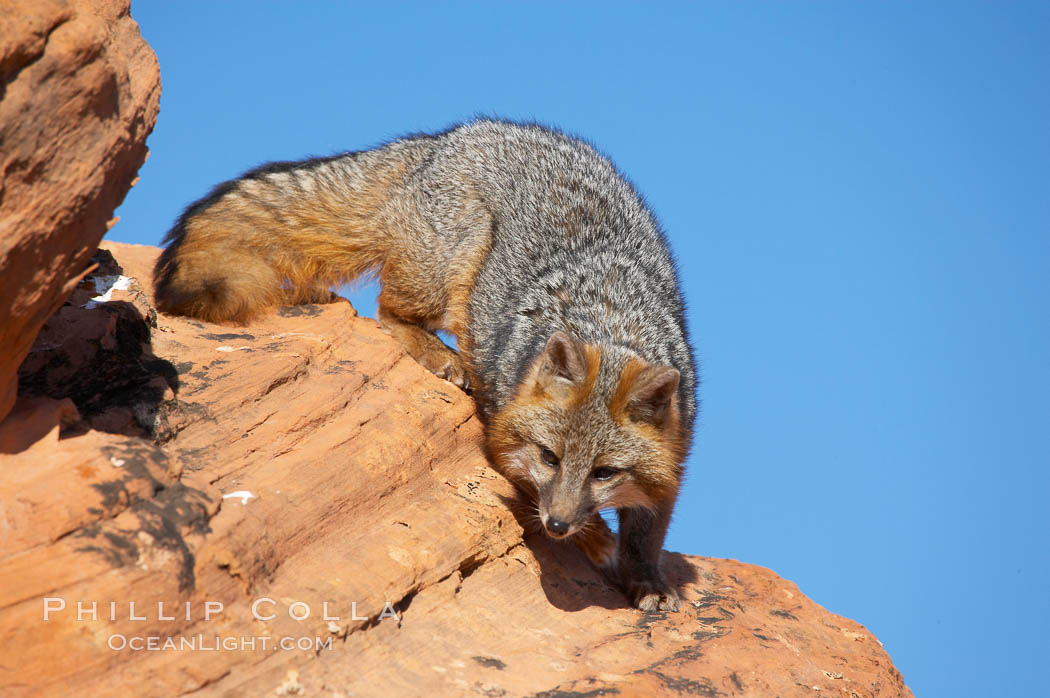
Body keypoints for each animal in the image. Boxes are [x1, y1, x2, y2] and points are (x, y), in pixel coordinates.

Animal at [153, 119, 697, 608]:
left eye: (604, 473)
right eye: (550, 458)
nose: (558, 524)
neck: (609, 320)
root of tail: (447, 138)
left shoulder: (675, 456)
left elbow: (646, 533)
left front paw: (644, 578)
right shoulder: (502, 435)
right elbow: (537, 492)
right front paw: (595, 540)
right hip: (446, 276)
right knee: (388, 309)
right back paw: (439, 354)